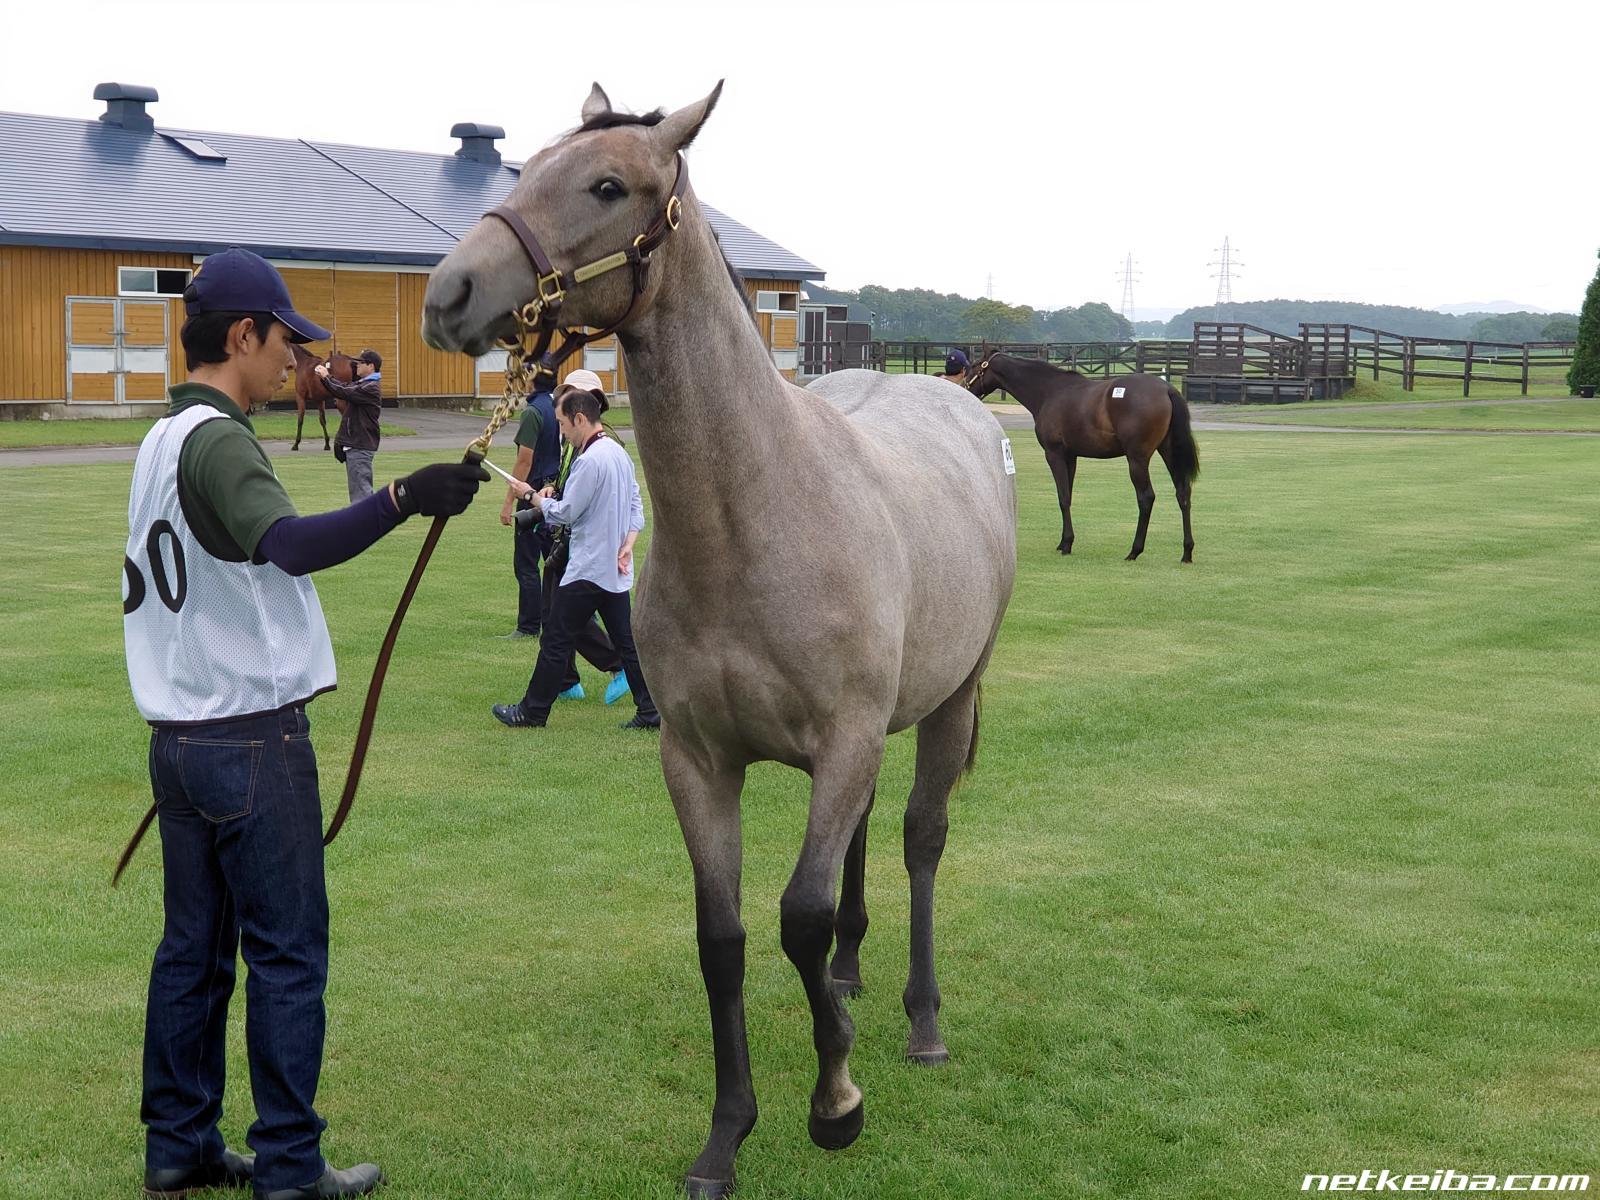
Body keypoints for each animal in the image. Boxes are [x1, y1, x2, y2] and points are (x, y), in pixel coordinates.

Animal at [419, 84, 1004, 1200]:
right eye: (527, 168)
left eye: (608, 185)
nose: (448, 292)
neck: (756, 518)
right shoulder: (698, 760)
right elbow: (723, 936)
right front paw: (728, 1135)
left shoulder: (842, 743)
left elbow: (797, 917)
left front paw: (836, 1102)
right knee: (863, 846)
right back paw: (852, 981)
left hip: (950, 703)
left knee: (918, 840)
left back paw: (920, 1022)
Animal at [960, 352, 1203, 563]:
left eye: (974, 367)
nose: (963, 388)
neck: (1050, 391)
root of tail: (1166, 389)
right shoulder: (1071, 457)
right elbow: (1068, 495)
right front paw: (1063, 542)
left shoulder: (1054, 454)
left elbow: (1063, 498)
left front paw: (1067, 544)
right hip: (1168, 451)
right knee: (1183, 493)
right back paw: (1187, 551)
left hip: (1137, 459)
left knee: (1146, 498)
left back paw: (1135, 551)